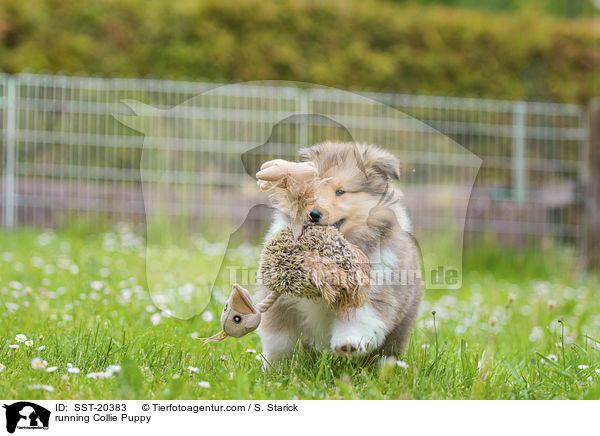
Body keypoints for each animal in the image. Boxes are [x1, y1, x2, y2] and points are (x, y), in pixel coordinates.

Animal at [256, 141, 422, 362]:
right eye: (310, 189)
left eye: (341, 192)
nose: (313, 214)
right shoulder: (281, 301)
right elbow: (278, 339)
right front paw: (274, 366)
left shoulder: (374, 290)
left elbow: (358, 317)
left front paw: (348, 345)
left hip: (401, 322)